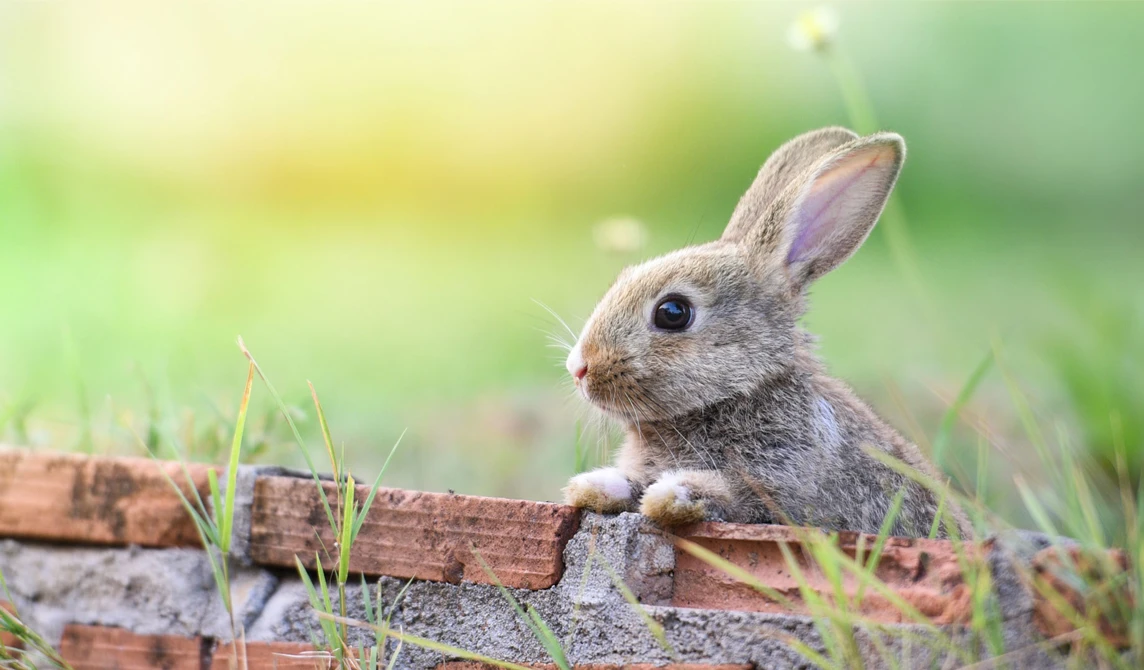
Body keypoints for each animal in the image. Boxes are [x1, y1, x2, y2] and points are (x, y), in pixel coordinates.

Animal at [562, 126, 971, 539]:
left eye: (673, 313)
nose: (578, 367)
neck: (741, 391)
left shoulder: (781, 483)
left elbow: (731, 495)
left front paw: (672, 494)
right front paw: (593, 486)